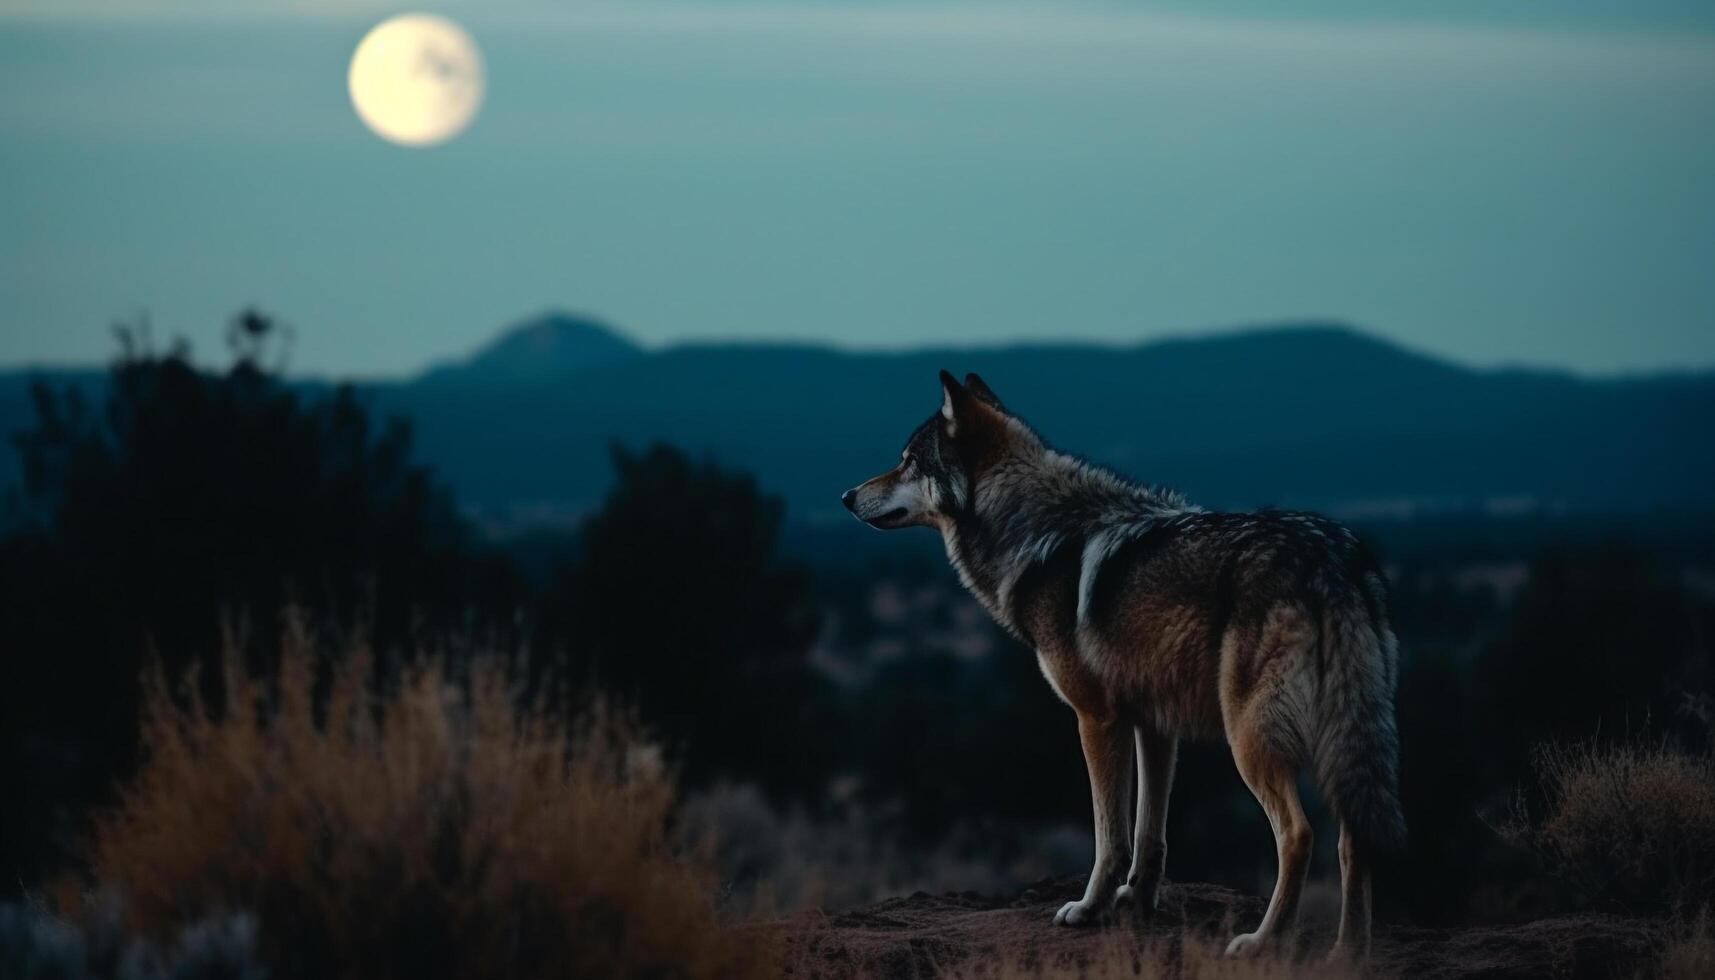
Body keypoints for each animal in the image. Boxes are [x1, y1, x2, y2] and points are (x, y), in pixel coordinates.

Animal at [843, 370, 1406, 961]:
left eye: (908, 460)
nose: (846, 496)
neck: (1033, 532)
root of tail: (1335, 560)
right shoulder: (1154, 725)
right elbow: (1149, 833)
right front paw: (1136, 903)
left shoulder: (1097, 719)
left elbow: (1109, 834)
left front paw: (1089, 909)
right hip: (1341, 743)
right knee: (1353, 837)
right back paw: (1348, 952)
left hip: (1250, 741)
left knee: (1297, 835)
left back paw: (1261, 942)